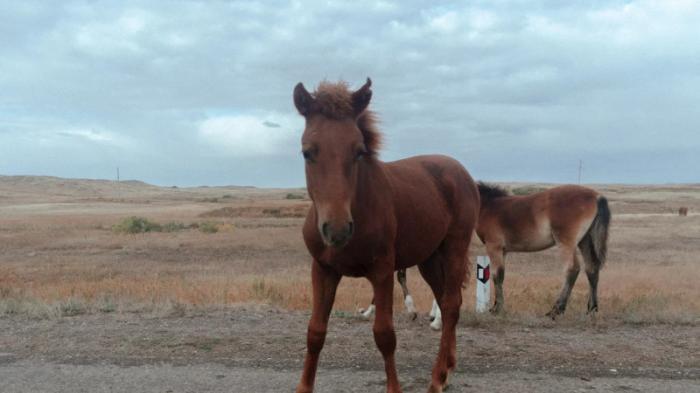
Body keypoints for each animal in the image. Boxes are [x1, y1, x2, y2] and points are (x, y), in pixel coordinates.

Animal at [292, 77, 478, 392]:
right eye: (308, 151)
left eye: (358, 150)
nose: (338, 230)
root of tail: (459, 170)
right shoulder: (323, 270)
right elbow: (315, 332)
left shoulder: (382, 271)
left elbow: (384, 335)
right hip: (429, 258)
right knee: (445, 301)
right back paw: (448, 367)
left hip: (454, 248)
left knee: (451, 305)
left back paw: (437, 378)